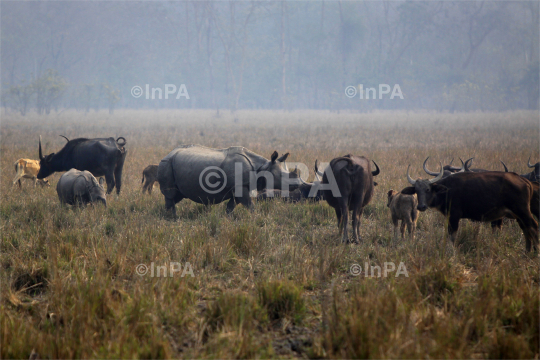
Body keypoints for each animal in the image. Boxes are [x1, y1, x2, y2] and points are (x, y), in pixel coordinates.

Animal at [157, 145, 304, 215]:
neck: (262, 166)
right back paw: (173, 219)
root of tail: (168, 154)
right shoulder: (240, 186)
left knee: (178, 195)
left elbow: (231, 206)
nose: (298, 185)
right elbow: (250, 205)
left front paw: (228, 220)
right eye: (282, 177)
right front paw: (256, 217)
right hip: (166, 164)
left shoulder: (239, 187)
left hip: (174, 165)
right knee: (170, 195)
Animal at [402, 165, 536, 252]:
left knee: (533, 226)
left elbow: (452, 236)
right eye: (416, 190)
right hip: (518, 215)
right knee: (526, 230)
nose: (421, 206)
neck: (446, 190)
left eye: (428, 189)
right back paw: (527, 251)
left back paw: (534, 251)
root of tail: (524, 181)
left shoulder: (454, 217)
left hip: (522, 211)